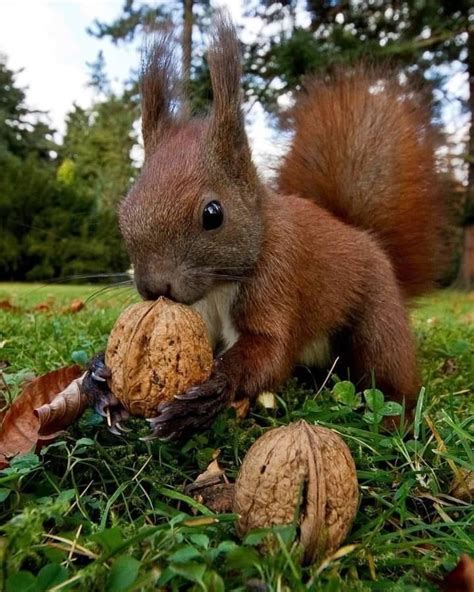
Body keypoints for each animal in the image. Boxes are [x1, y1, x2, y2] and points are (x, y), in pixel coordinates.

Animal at [83, 13, 442, 440]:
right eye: (124, 211)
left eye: (213, 214)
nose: (155, 288)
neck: (218, 287)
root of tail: (364, 236)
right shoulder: (200, 314)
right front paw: (99, 377)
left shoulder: (280, 276)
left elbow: (271, 350)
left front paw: (210, 392)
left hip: (378, 316)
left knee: (387, 367)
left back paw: (396, 418)